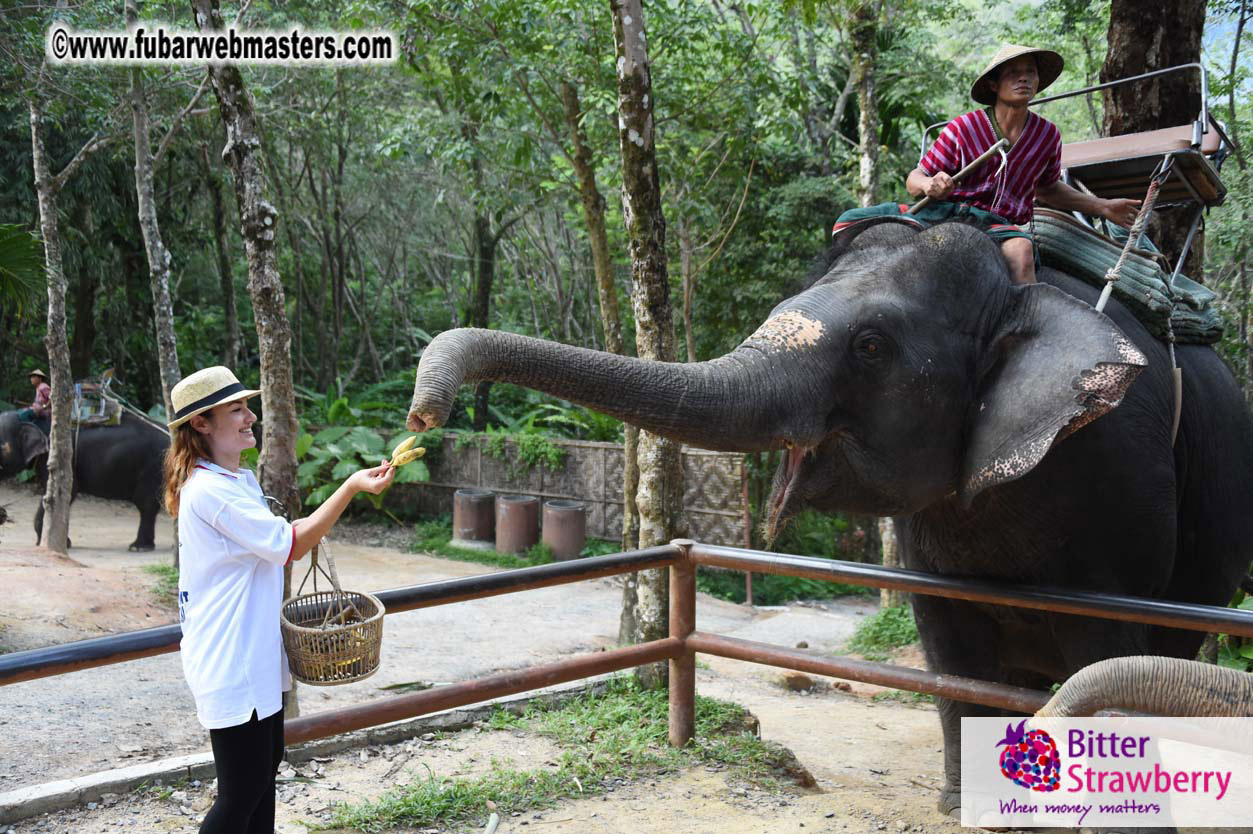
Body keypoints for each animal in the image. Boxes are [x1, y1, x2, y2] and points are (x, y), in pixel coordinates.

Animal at [0, 410, 169, 551]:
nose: (4, 514)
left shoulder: (60, 460)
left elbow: (63, 493)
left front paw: (60, 544)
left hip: (153, 467)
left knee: (146, 505)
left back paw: (139, 547)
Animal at [403, 219, 1253, 831]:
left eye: (871, 347)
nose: (422, 414)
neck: (1019, 292)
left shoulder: (1120, 483)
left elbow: (1107, 648)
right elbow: (949, 653)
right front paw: (968, 809)